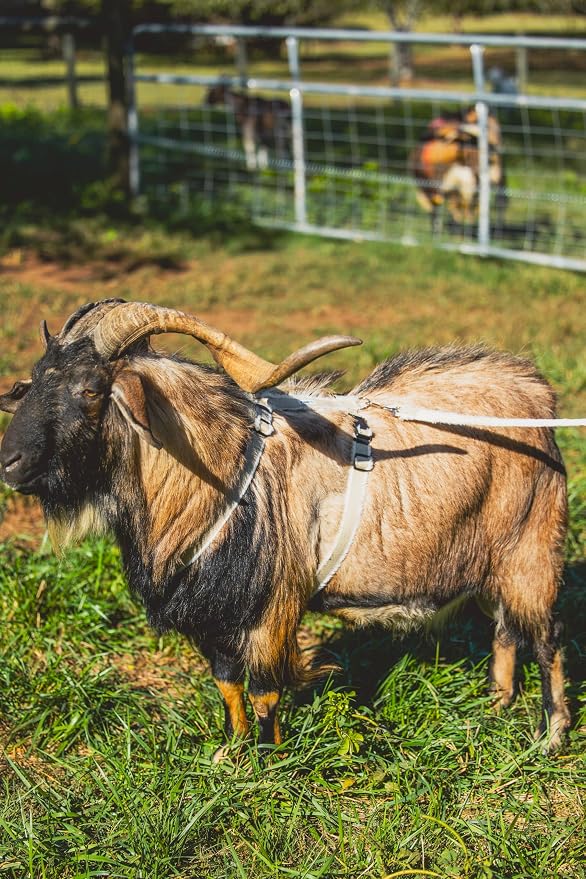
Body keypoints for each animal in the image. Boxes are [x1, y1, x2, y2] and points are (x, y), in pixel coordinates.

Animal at [0, 300, 570, 755]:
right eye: (35, 378)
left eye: (91, 389)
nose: (9, 461)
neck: (221, 473)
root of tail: (538, 395)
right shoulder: (215, 616)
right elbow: (228, 686)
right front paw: (231, 752)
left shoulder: (271, 609)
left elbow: (264, 692)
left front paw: (270, 759)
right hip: (496, 562)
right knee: (505, 630)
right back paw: (498, 704)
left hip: (533, 550)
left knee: (547, 639)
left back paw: (552, 734)